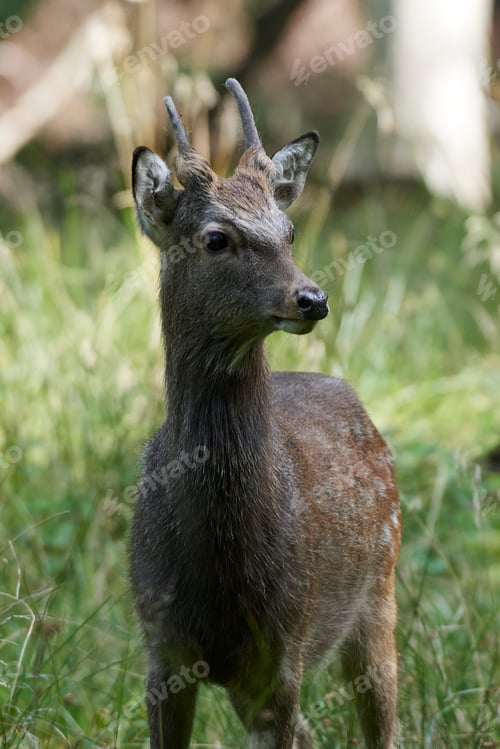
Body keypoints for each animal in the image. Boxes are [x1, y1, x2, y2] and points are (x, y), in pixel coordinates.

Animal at [129, 77, 401, 749]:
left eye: (290, 231)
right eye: (215, 237)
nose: (313, 298)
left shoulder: (283, 648)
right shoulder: (161, 651)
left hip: (379, 590)